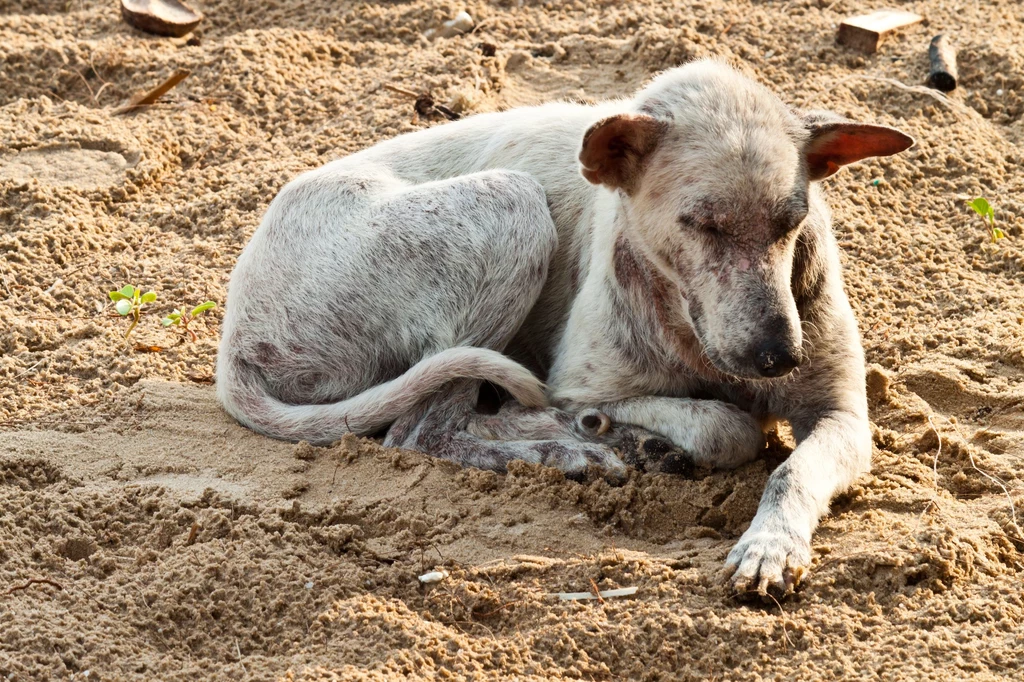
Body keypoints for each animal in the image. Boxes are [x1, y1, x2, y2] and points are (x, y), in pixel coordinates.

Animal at [214, 63, 913, 593]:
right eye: (701, 224)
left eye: (793, 220)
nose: (779, 356)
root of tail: (234, 342)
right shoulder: (578, 382)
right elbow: (724, 426)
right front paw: (638, 430)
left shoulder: (843, 416)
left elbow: (793, 470)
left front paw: (771, 545)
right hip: (511, 207)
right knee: (423, 431)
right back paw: (580, 449)